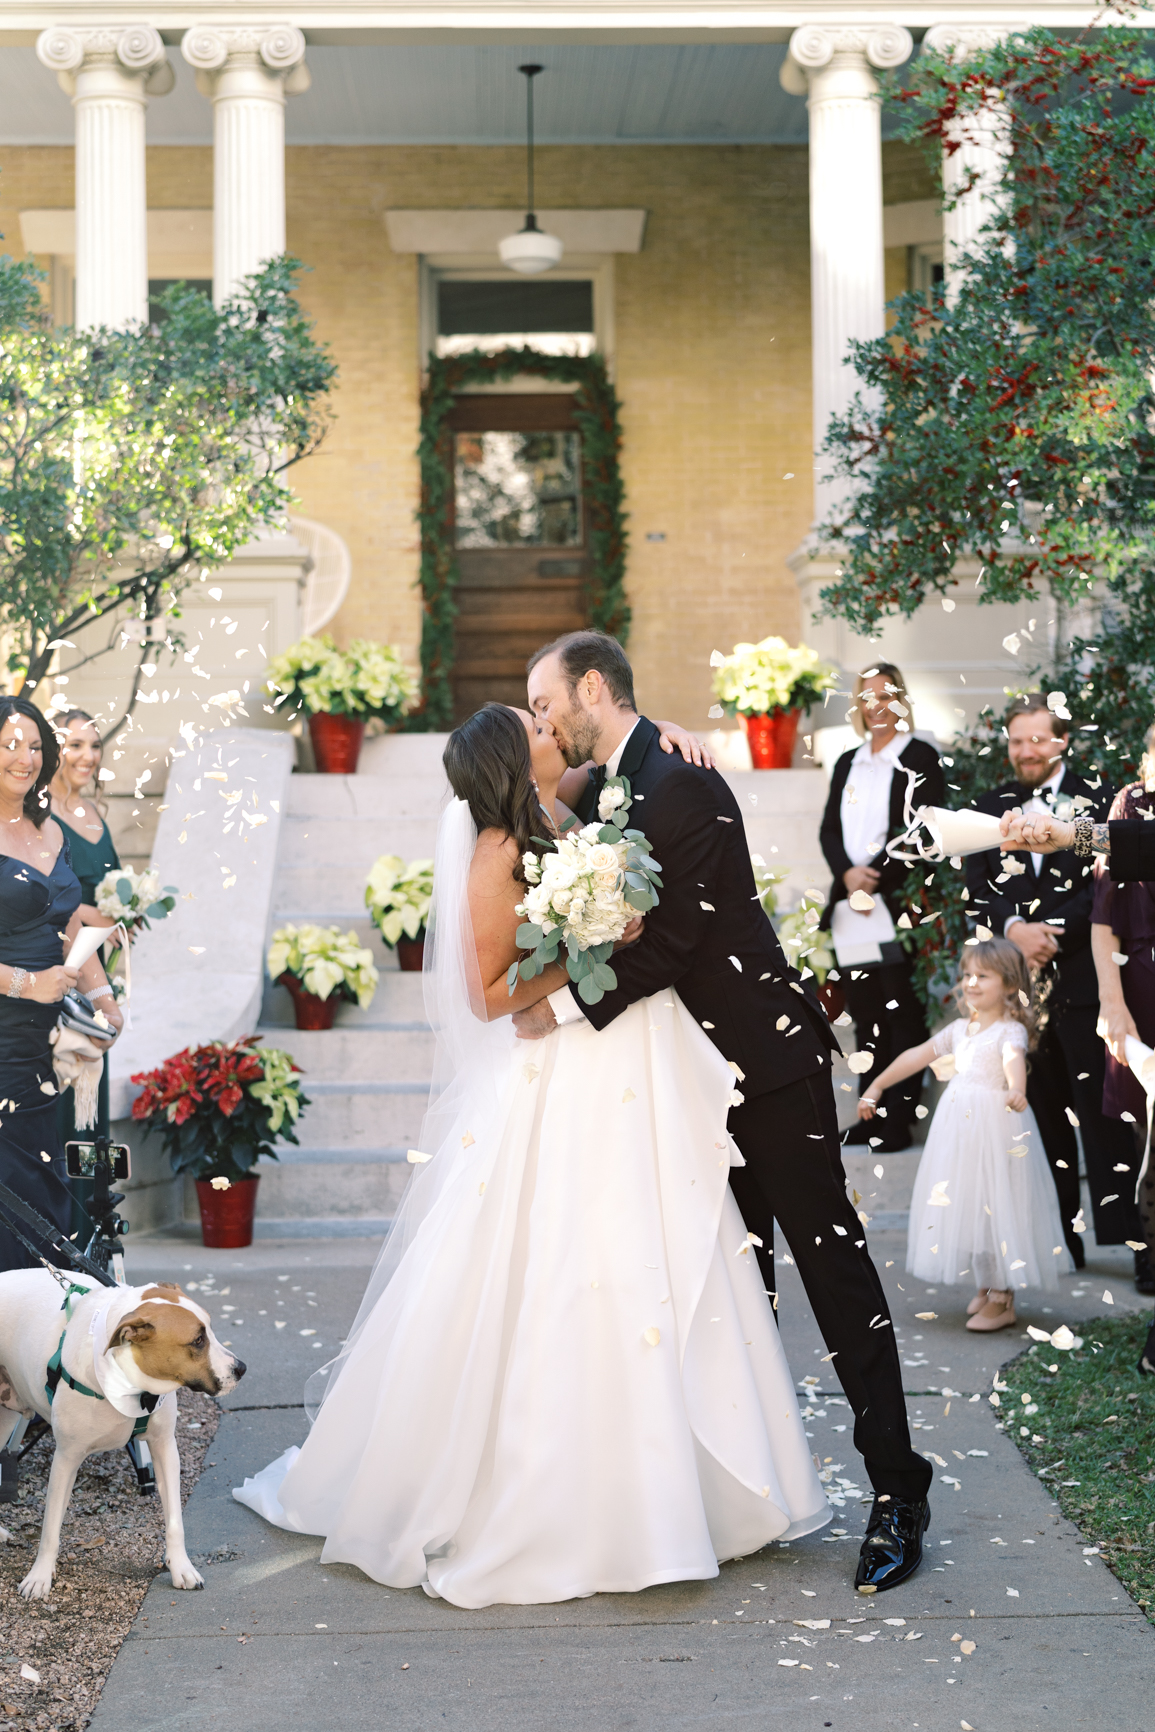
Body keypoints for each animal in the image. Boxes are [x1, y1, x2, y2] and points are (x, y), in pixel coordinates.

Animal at [0, 1267, 244, 1600]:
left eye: (210, 1330)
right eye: (197, 1340)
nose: (241, 1368)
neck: (132, 1385)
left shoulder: (164, 1448)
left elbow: (175, 1521)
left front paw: (181, 1566)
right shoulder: (65, 1458)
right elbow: (50, 1528)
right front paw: (39, 1576)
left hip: (5, 1418)